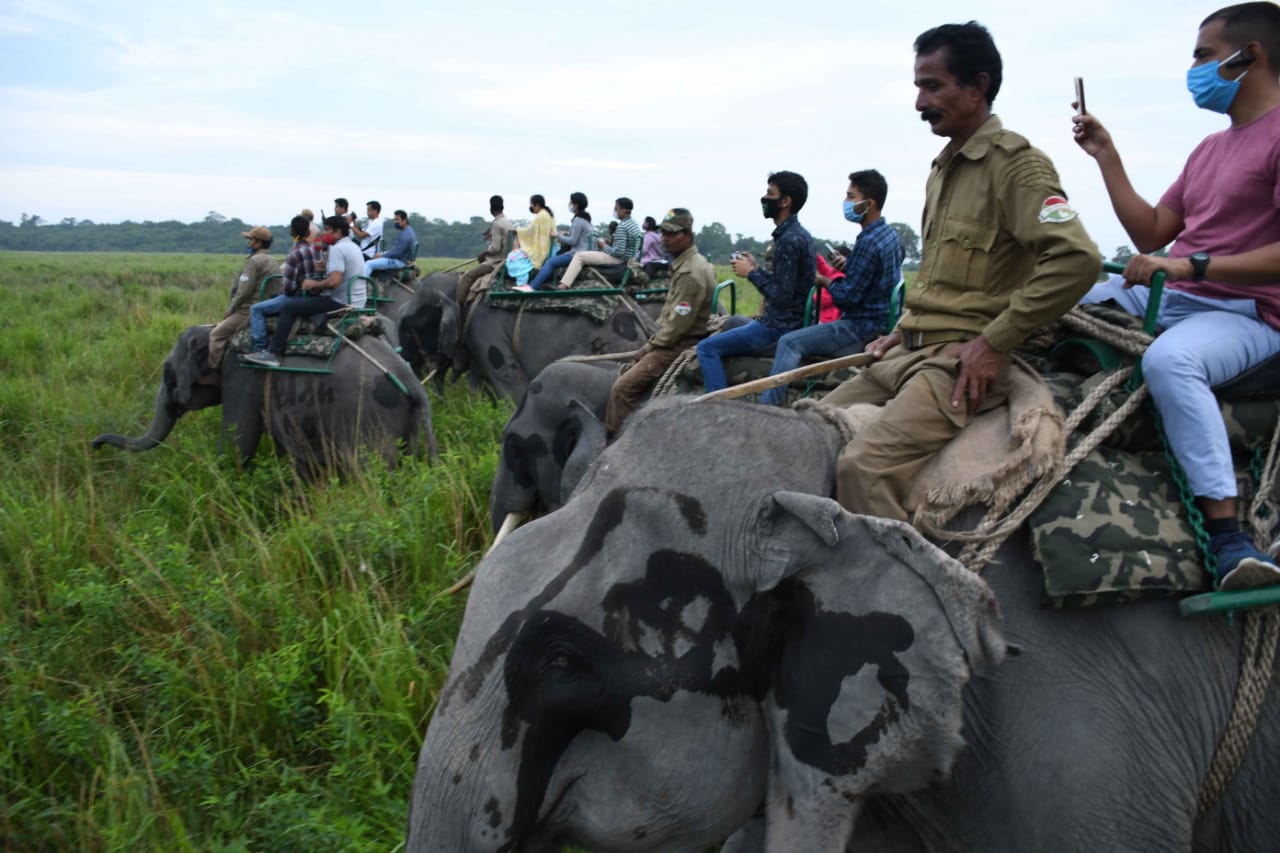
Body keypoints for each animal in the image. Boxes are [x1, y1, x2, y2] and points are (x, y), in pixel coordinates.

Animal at [92, 324, 435, 471]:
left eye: (167, 373)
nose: (94, 445)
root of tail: (412, 383)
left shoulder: (241, 375)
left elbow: (237, 444)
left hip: (370, 421)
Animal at [394, 272, 660, 402]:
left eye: (408, 328)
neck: (462, 286)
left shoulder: (484, 329)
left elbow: (513, 388)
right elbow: (477, 386)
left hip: (614, 348)